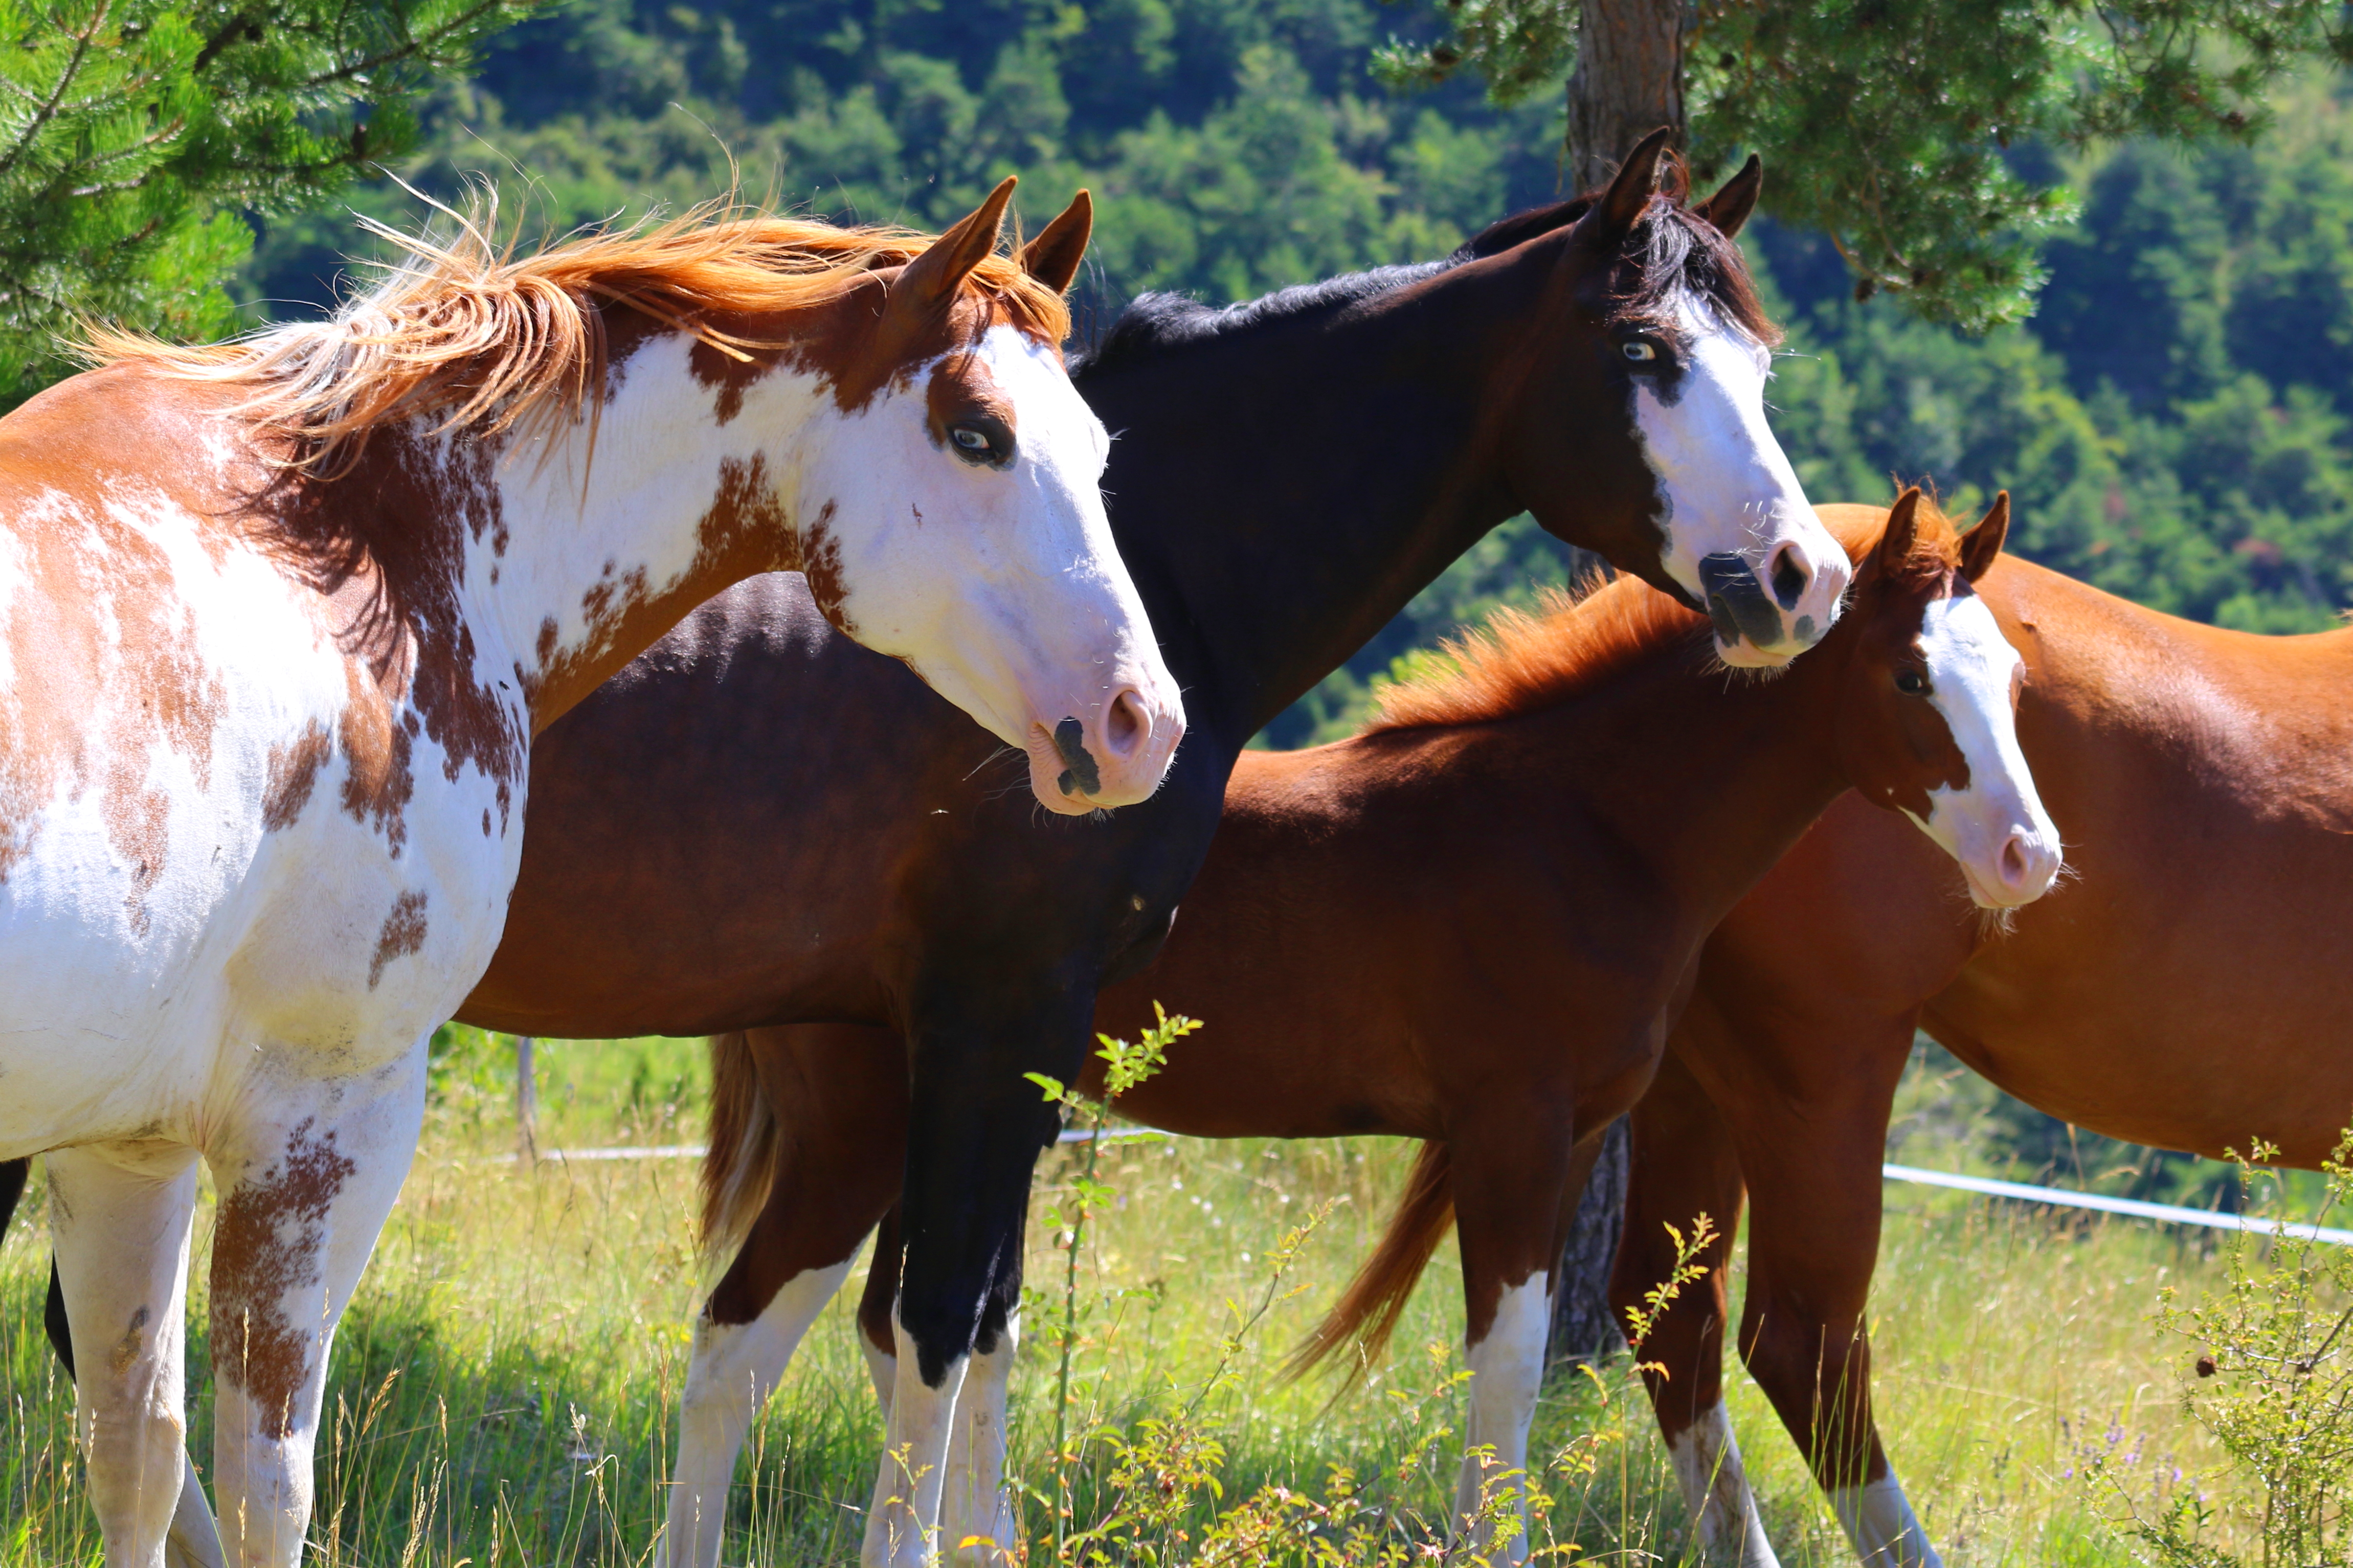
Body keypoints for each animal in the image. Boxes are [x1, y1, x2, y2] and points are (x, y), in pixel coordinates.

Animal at [0, 184, 1176, 1568]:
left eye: (1094, 445)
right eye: (976, 433)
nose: (1141, 722)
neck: (362, 562)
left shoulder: (123, 1146)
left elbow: (134, 1458)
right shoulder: (320, 1122)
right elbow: (268, 1486)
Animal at [701, 486, 2061, 1561]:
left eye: (2010, 679)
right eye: (1907, 677)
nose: (2029, 859)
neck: (1584, 828)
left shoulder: (1573, 1135)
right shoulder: (1511, 1130)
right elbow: (1504, 1371)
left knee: (896, 1329)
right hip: (866, 1132)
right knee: (760, 1334)